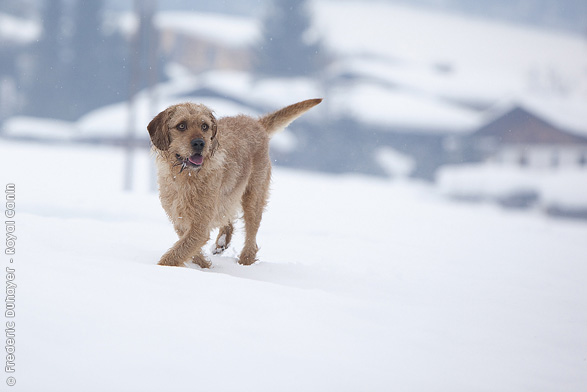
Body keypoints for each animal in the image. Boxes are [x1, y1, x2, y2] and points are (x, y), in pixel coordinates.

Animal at [147, 99, 322, 268]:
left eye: (205, 126)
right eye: (181, 125)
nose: (199, 143)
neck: (186, 176)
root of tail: (256, 123)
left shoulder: (200, 225)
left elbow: (178, 252)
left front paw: (162, 268)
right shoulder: (180, 220)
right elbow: (186, 248)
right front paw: (203, 265)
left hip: (253, 198)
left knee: (251, 238)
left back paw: (245, 262)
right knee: (228, 218)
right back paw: (222, 243)